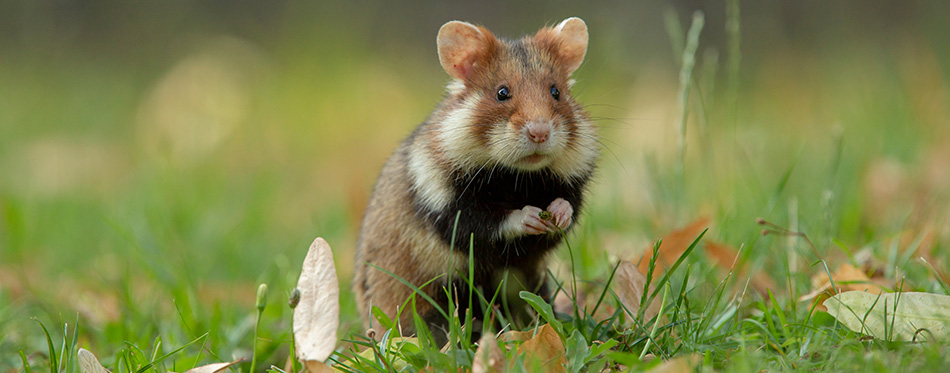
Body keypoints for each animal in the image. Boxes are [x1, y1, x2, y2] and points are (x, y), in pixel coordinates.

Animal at [354, 16, 600, 338]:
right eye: (502, 93)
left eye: (555, 91)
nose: (540, 132)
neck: (519, 176)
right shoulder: (449, 207)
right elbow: (489, 223)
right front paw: (531, 217)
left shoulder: (570, 188)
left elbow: (568, 207)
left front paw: (557, 212)